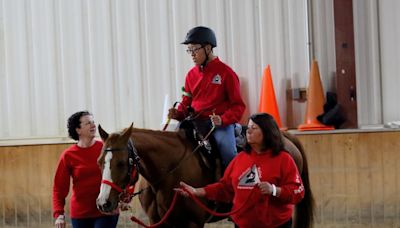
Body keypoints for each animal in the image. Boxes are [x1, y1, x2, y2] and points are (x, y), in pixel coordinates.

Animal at [96, 124, 312, 228]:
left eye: (121, 163)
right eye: (99, 161)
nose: (103, 203)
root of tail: (286, 138)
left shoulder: (193, 223)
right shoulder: (157, 222)